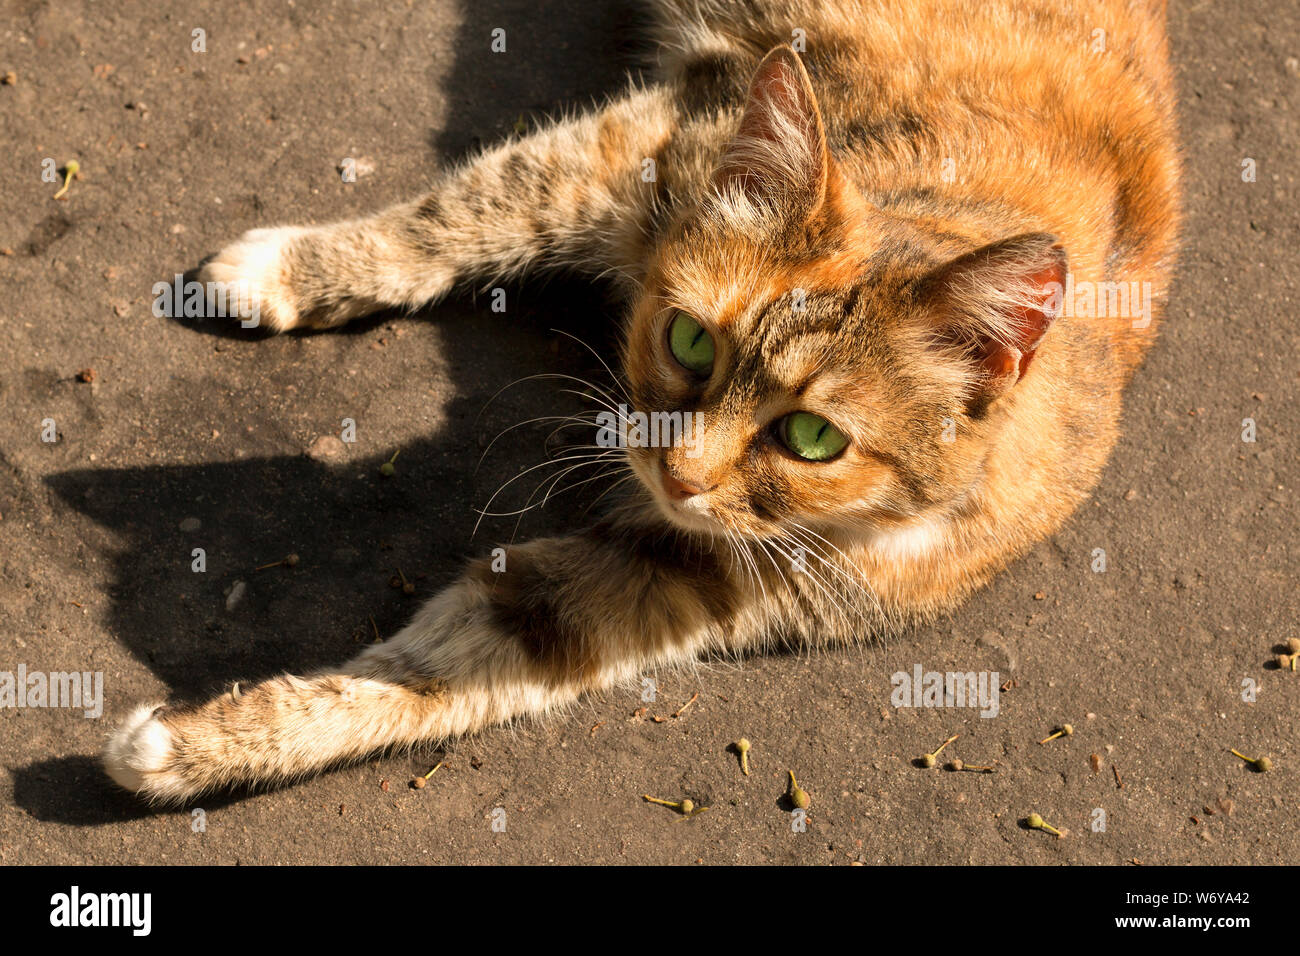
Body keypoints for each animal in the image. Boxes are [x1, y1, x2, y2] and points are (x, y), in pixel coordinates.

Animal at [101, 0, 1180, 801]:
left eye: (813, 437)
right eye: (691, 339)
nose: (676, 472)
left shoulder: (684, 572)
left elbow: (446, 669)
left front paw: (208, 744)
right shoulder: (638, 147)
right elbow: (454, 215)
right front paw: (284, 270)